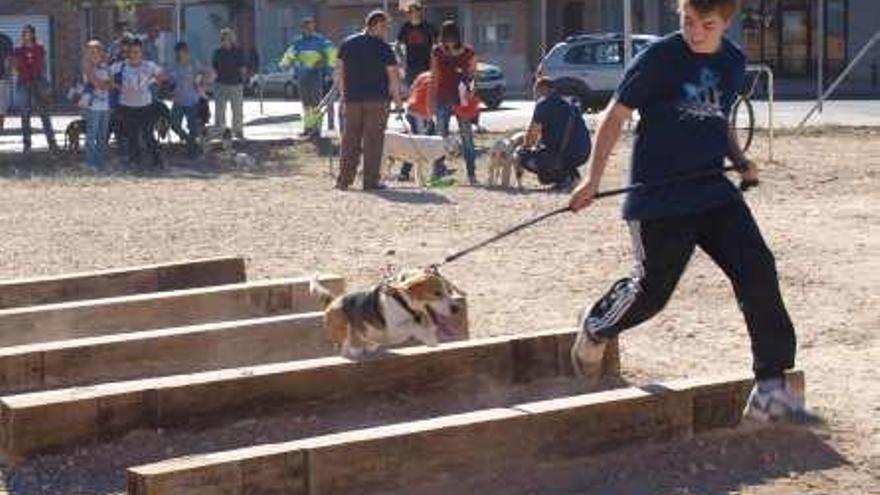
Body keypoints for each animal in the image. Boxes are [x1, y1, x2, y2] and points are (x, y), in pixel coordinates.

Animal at [312, 270, 464, 358]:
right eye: (437, 293)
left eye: (449, 291)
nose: (456, 309)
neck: (403, 302)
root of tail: (332, 301)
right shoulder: (394, 329)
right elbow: (411, 324)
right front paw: (427, 335)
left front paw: (430, 337)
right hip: (342, 325)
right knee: (346, 347)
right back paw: (354, 351)